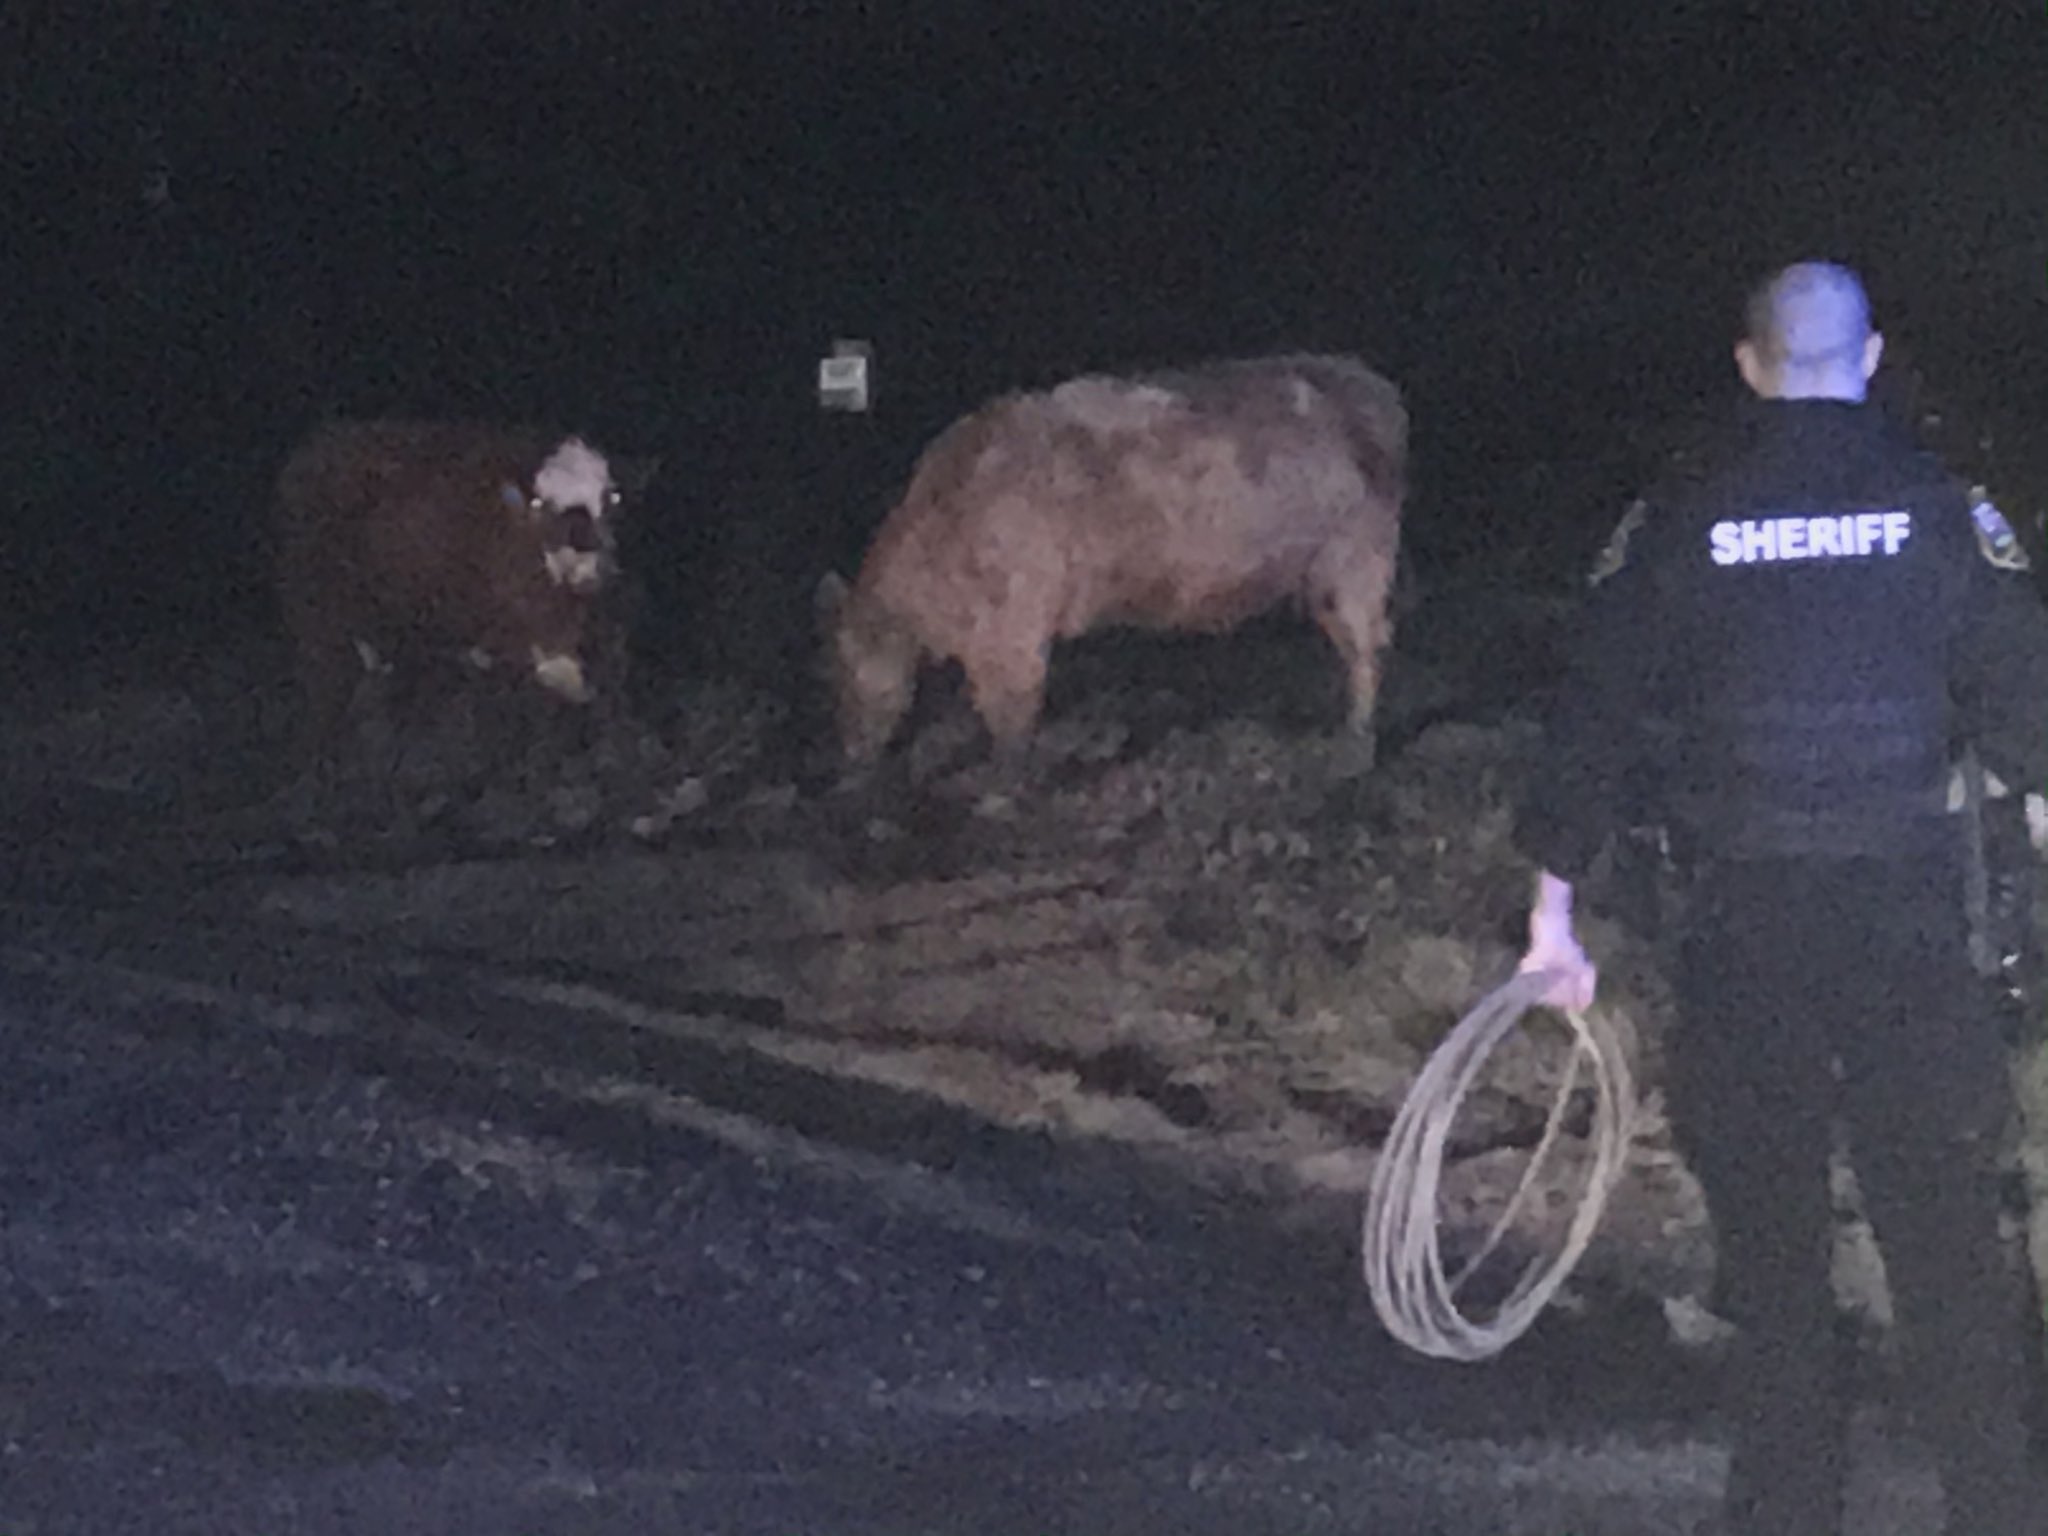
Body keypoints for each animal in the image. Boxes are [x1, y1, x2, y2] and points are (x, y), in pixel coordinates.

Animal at [816, 353, 1408, 767]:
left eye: (842, 663)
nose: (847, 753)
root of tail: (1375, 387)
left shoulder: (1012, 628)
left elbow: (1011, 718)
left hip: (1358, 557)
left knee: (1367, 649)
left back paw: (1354, 740)